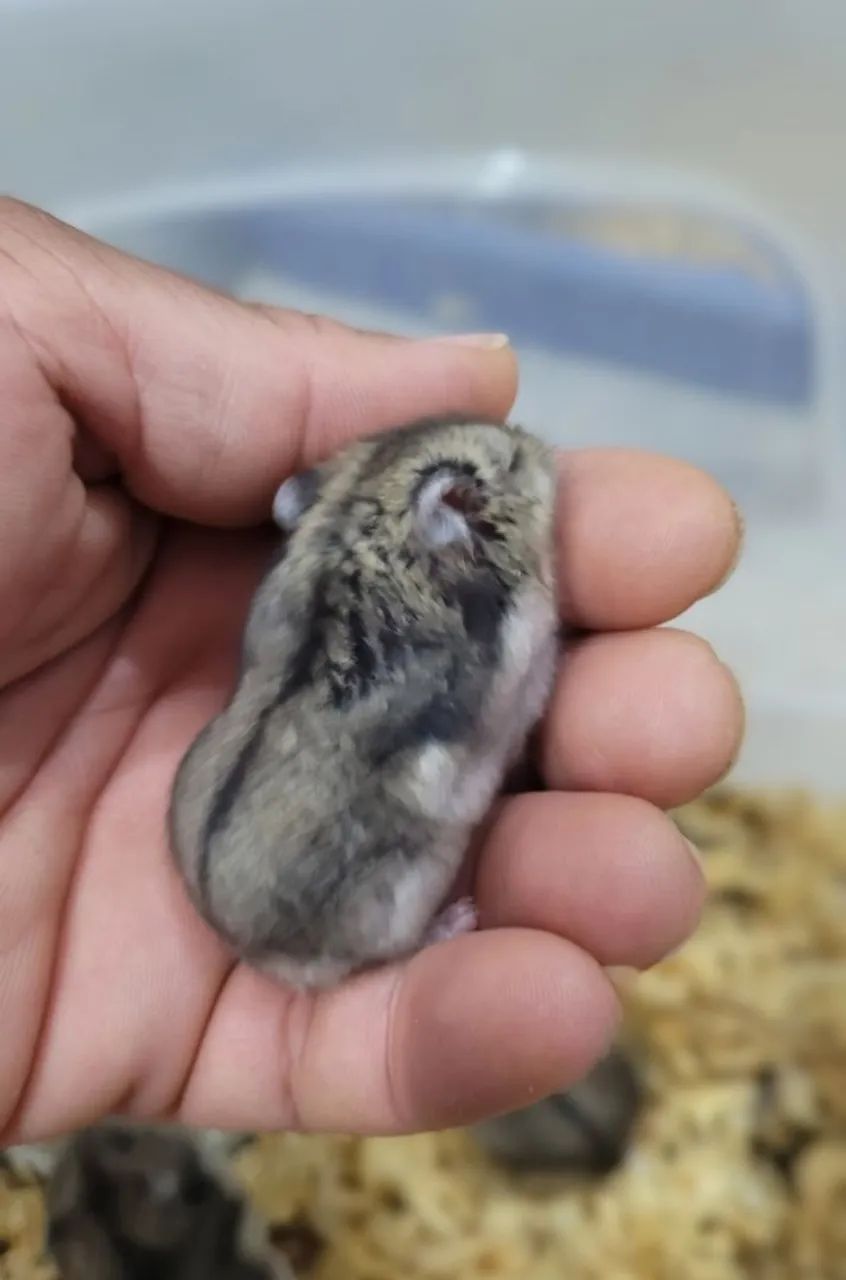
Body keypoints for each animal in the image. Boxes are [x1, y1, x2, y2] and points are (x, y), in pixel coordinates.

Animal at [169, 417, 559, 990]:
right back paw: (460, 918)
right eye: (513, 462)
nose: (542, 445)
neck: (363, 513)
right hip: (400, 896)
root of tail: (246, 947)